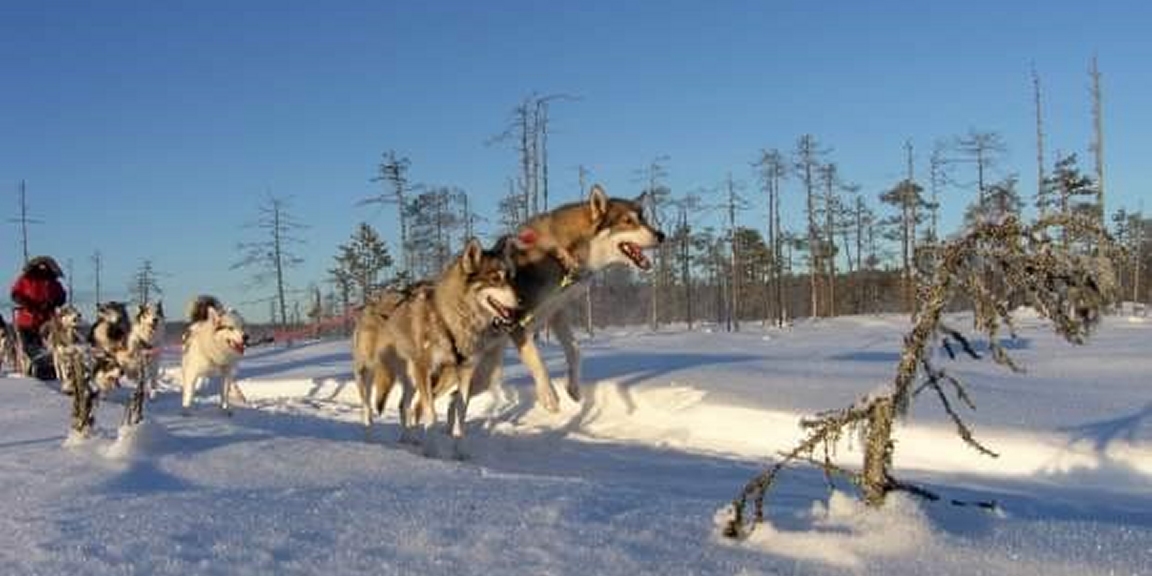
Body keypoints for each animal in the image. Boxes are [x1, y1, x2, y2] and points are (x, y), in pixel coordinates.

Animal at [347, 237, 516, 444]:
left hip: (412, 377)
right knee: (367, 410)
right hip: (368, 374)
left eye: (511, 278)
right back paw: (371, 441)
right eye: (495, 278)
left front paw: (459, 449)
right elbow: (431, 415)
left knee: (403, 405)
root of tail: (369, 305)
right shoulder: (425, 369)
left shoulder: (465, 372)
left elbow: (460, 415)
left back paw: (408, 441)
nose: (521, 301)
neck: (448, 320)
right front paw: (432, 448)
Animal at [476, 184, 668, 410]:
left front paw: (574, 387)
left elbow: (575, 351)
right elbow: (536, 359)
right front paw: (548, 395)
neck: (559, 254)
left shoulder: (557, 312)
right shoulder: (516, 320)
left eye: (643, 219)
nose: (661, 235)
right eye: (627, 221)